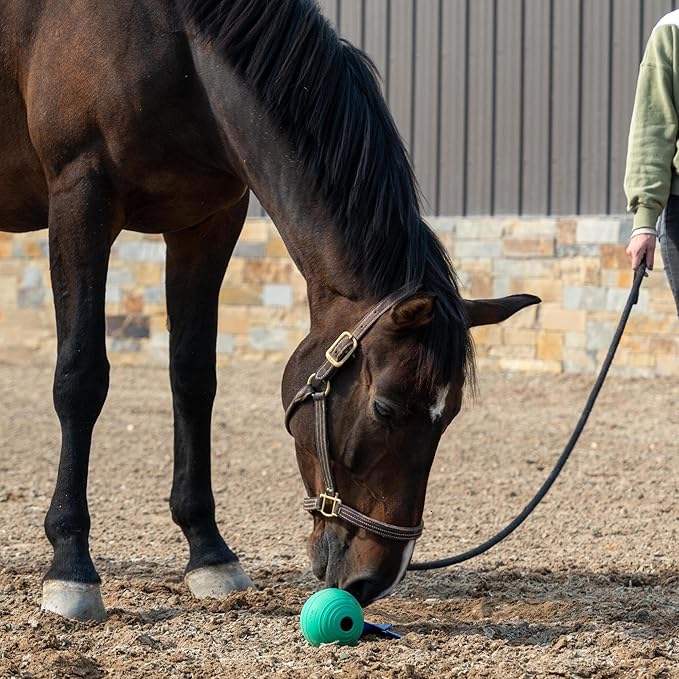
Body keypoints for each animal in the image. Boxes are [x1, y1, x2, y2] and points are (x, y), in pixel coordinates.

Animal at [0, 0, 539, 621]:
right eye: (384, 409)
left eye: (448, 418)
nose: (374, 580)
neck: (173, 44)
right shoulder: (80, 201)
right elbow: (80, 379)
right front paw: (70, 565)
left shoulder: (208, 222)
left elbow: (193, 379)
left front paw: (209, 554)